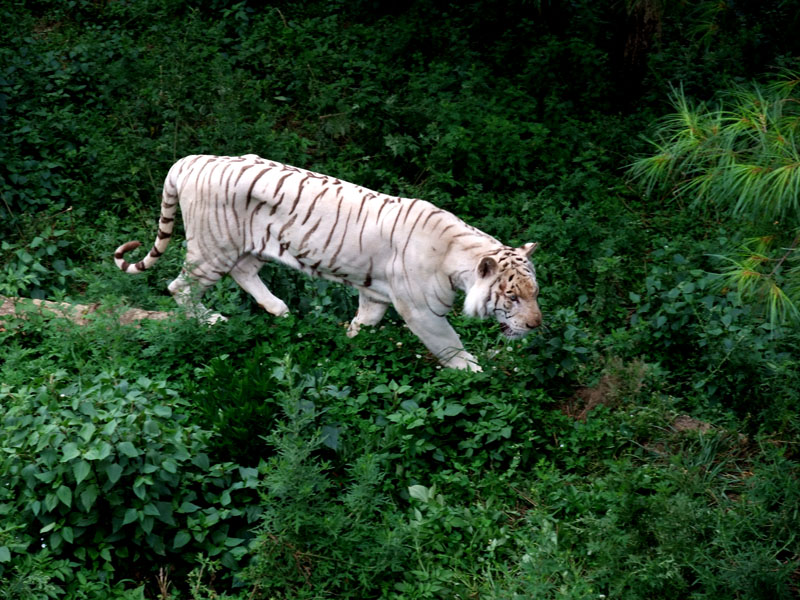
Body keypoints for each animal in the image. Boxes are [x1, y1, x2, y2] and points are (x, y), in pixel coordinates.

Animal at [114, 154, 544, 370]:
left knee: (244, 272)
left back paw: (280, 309)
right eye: (512, 297)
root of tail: (190, 160)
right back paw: (209, 321)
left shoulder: (376, 294)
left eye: (535, 293)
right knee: (180, 287)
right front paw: (475, 372)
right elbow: (450, 344)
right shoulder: (422, 311)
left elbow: (363, 322)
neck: (457, 256)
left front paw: (350, 344)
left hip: (244, 245)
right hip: (212, 246)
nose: (536, 325)